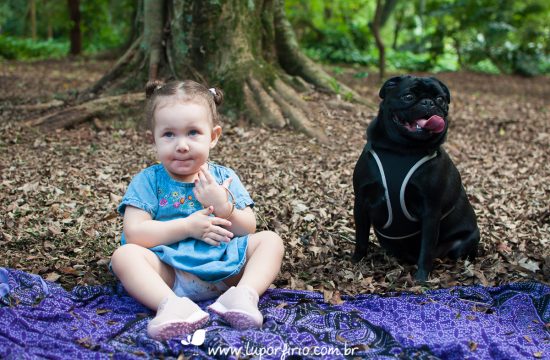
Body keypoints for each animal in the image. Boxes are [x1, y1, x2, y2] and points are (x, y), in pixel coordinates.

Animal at [356, 75, 480, 282]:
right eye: (408, 96)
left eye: (440, 100)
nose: (429, 102)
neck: (401, 149)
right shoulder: (361, 201)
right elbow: (360, 236)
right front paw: (356, 261)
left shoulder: (430, 211)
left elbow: (426, 249)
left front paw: (421, 278)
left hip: (467, 240)